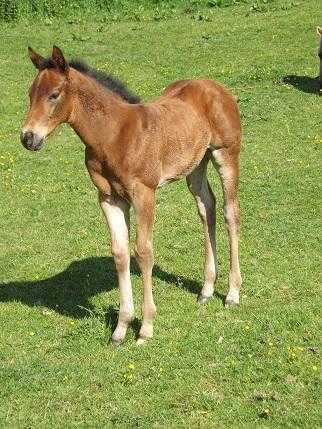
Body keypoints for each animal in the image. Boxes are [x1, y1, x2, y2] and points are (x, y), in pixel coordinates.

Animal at [20, 46, 242, 342]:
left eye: (54, 94)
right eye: (30, 94)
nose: (28, 138)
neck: (114, 135)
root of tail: (216, 87)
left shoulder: (144, 194)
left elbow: (144, 252)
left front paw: (146, 327)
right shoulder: (109, 198)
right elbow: (120, 253)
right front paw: (121, 327)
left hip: (225, 154)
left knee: (231, 213)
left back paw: (232, 294)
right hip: (196, 165)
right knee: (207, 209)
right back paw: (206, 289)